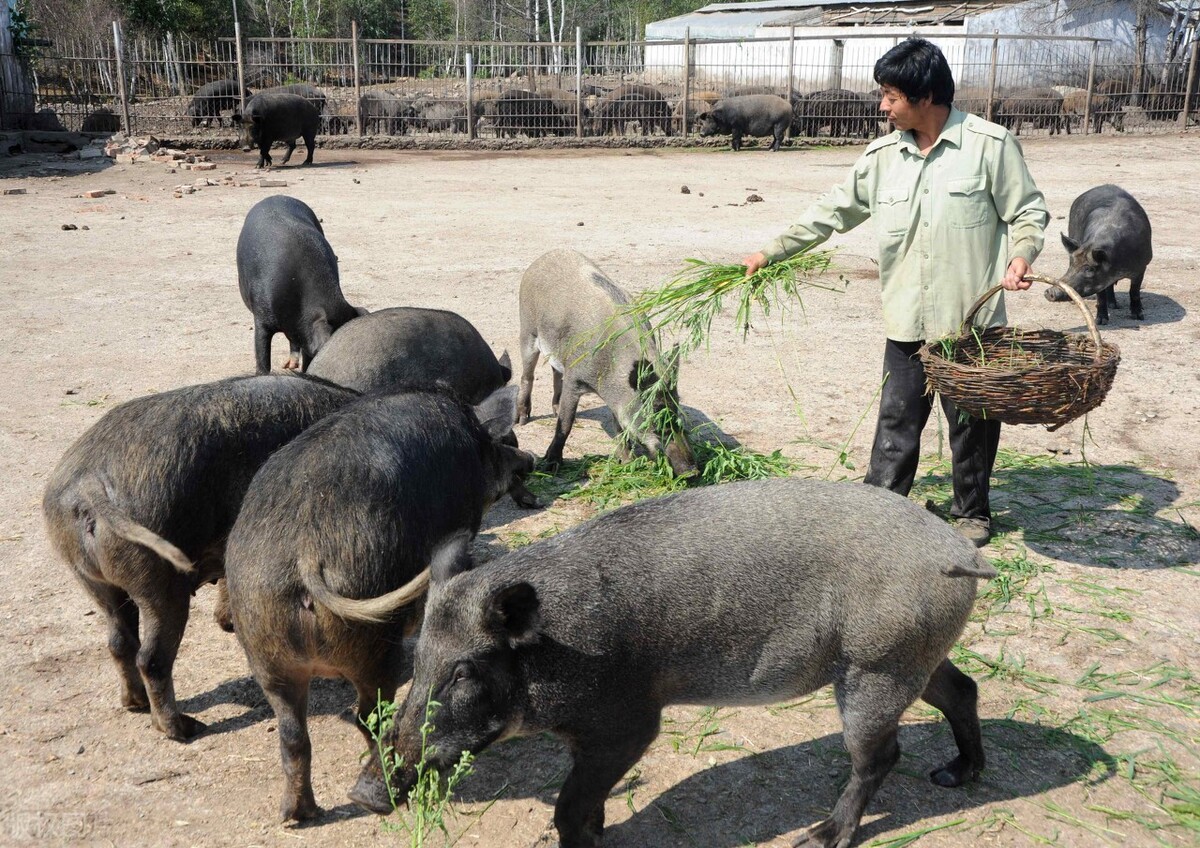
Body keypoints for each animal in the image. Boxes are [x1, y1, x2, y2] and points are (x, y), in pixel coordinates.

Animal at [352, 477, 993, 848]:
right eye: (419, 659)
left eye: (464, 671)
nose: (364, 793)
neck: (560, 649)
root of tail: (960, 553)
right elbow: (582, 803)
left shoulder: (629, 724)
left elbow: (567, 809)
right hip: (917, 655)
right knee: (963, 690)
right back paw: (955, 775)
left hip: (875, 667)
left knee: (879, 756)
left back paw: (819, 837)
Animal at [516, 250, 696, 477]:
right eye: (655, 417)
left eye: (678, 411)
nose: (692, 472)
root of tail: (545, 256)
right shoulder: (575, 379)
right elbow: (566, 423)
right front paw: (551, 466)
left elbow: (618, 425)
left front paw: (627, 462)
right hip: (527, 329)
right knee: (527, 374)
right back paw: (521, 420)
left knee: (555, 371)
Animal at [1051, 183, 1152, 326]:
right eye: (1073, 265)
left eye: (1090, 269)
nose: (1050, 292)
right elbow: (1101, 297)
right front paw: (1100, 321)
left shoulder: (1142, 266)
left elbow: (1134, 291)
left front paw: (1138, 317)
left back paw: (1115, 306)